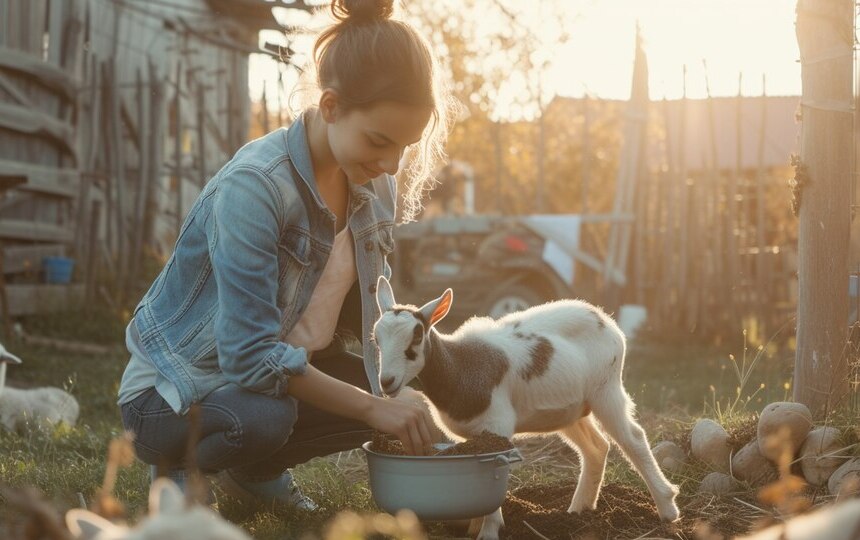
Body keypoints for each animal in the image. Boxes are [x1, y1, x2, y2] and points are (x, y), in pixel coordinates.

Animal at [372, 278, 680, 540]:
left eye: (416, 337)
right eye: (376, 339)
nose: (386, 381)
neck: (460, 367)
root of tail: (604, 318)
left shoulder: (498, 427)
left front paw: (488, 532)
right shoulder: (473, 437)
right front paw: (473, 525)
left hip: (606, 389)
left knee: (634, 438)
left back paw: (667, 509)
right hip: (570, 409)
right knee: (596, 447)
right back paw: (579, 510)